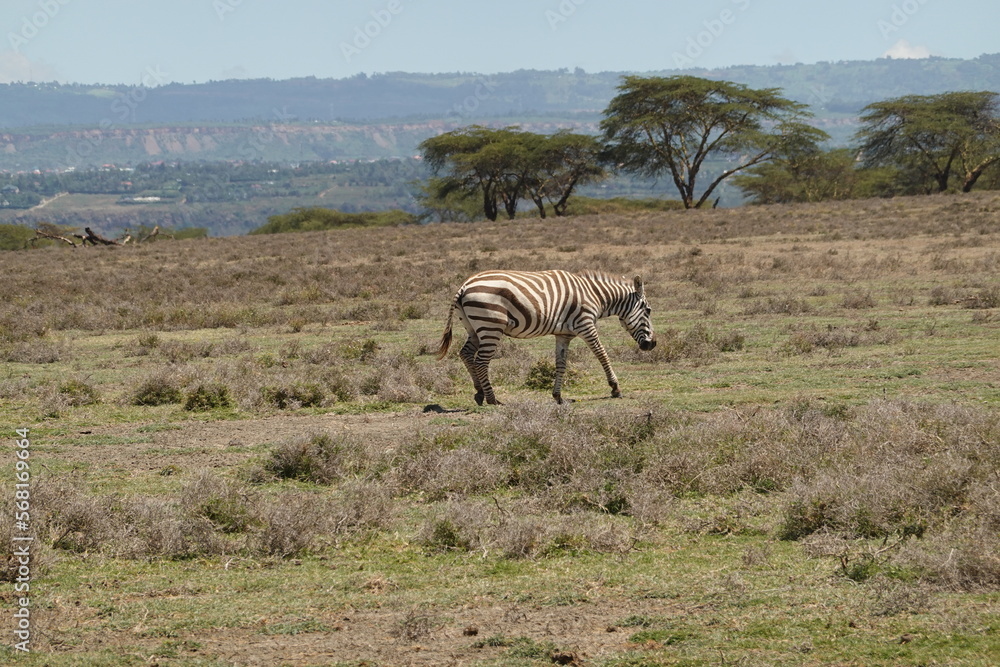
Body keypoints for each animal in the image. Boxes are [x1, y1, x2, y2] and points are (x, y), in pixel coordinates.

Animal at [436, 269, 656, 405]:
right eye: (648, 310)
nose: (652, 345)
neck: (594, 296)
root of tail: (464, 285)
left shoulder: (563, 334)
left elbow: (561, 363)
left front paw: (558, 396)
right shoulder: (586, 325)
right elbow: (602, 355)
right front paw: (615, 388)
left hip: (473, 327)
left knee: (465, 354)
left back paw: (479, 392)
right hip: (491, 326)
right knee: (481, 361)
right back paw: (492, 398)